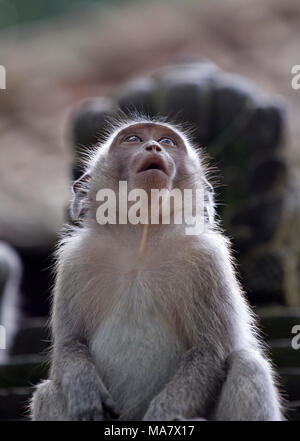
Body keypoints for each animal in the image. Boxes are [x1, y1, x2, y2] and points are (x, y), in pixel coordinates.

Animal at [30, 116, 284, 420]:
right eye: (133, 140)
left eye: (167, 141)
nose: (153, 146)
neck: (142, 243)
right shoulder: (75, 261)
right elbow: (69, 345)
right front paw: (85, 390)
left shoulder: (208, 259)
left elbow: (209, 351)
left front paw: (163, 414)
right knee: (48, 393)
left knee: (247, 365)